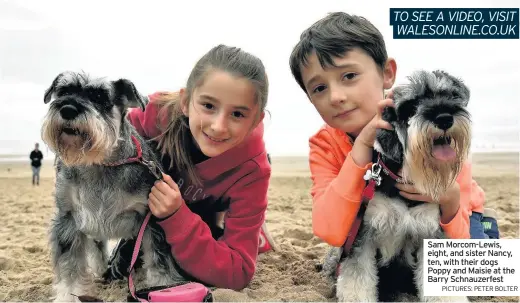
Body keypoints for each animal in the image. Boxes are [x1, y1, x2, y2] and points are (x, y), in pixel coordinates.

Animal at [41, 70, 187, 302]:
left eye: (100, 97)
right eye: (63, 91)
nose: (68, 109)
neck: (100, 163)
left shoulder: (151, 218)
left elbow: (159, 259)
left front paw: (164, 287)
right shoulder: (68, 218)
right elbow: (69, 267)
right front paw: (68, 295)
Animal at [320, 70, 472, 302]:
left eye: (451, 95)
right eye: (411, 106)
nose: (444, 118)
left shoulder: (429, 232)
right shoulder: (364, 233)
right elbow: (357, 276)